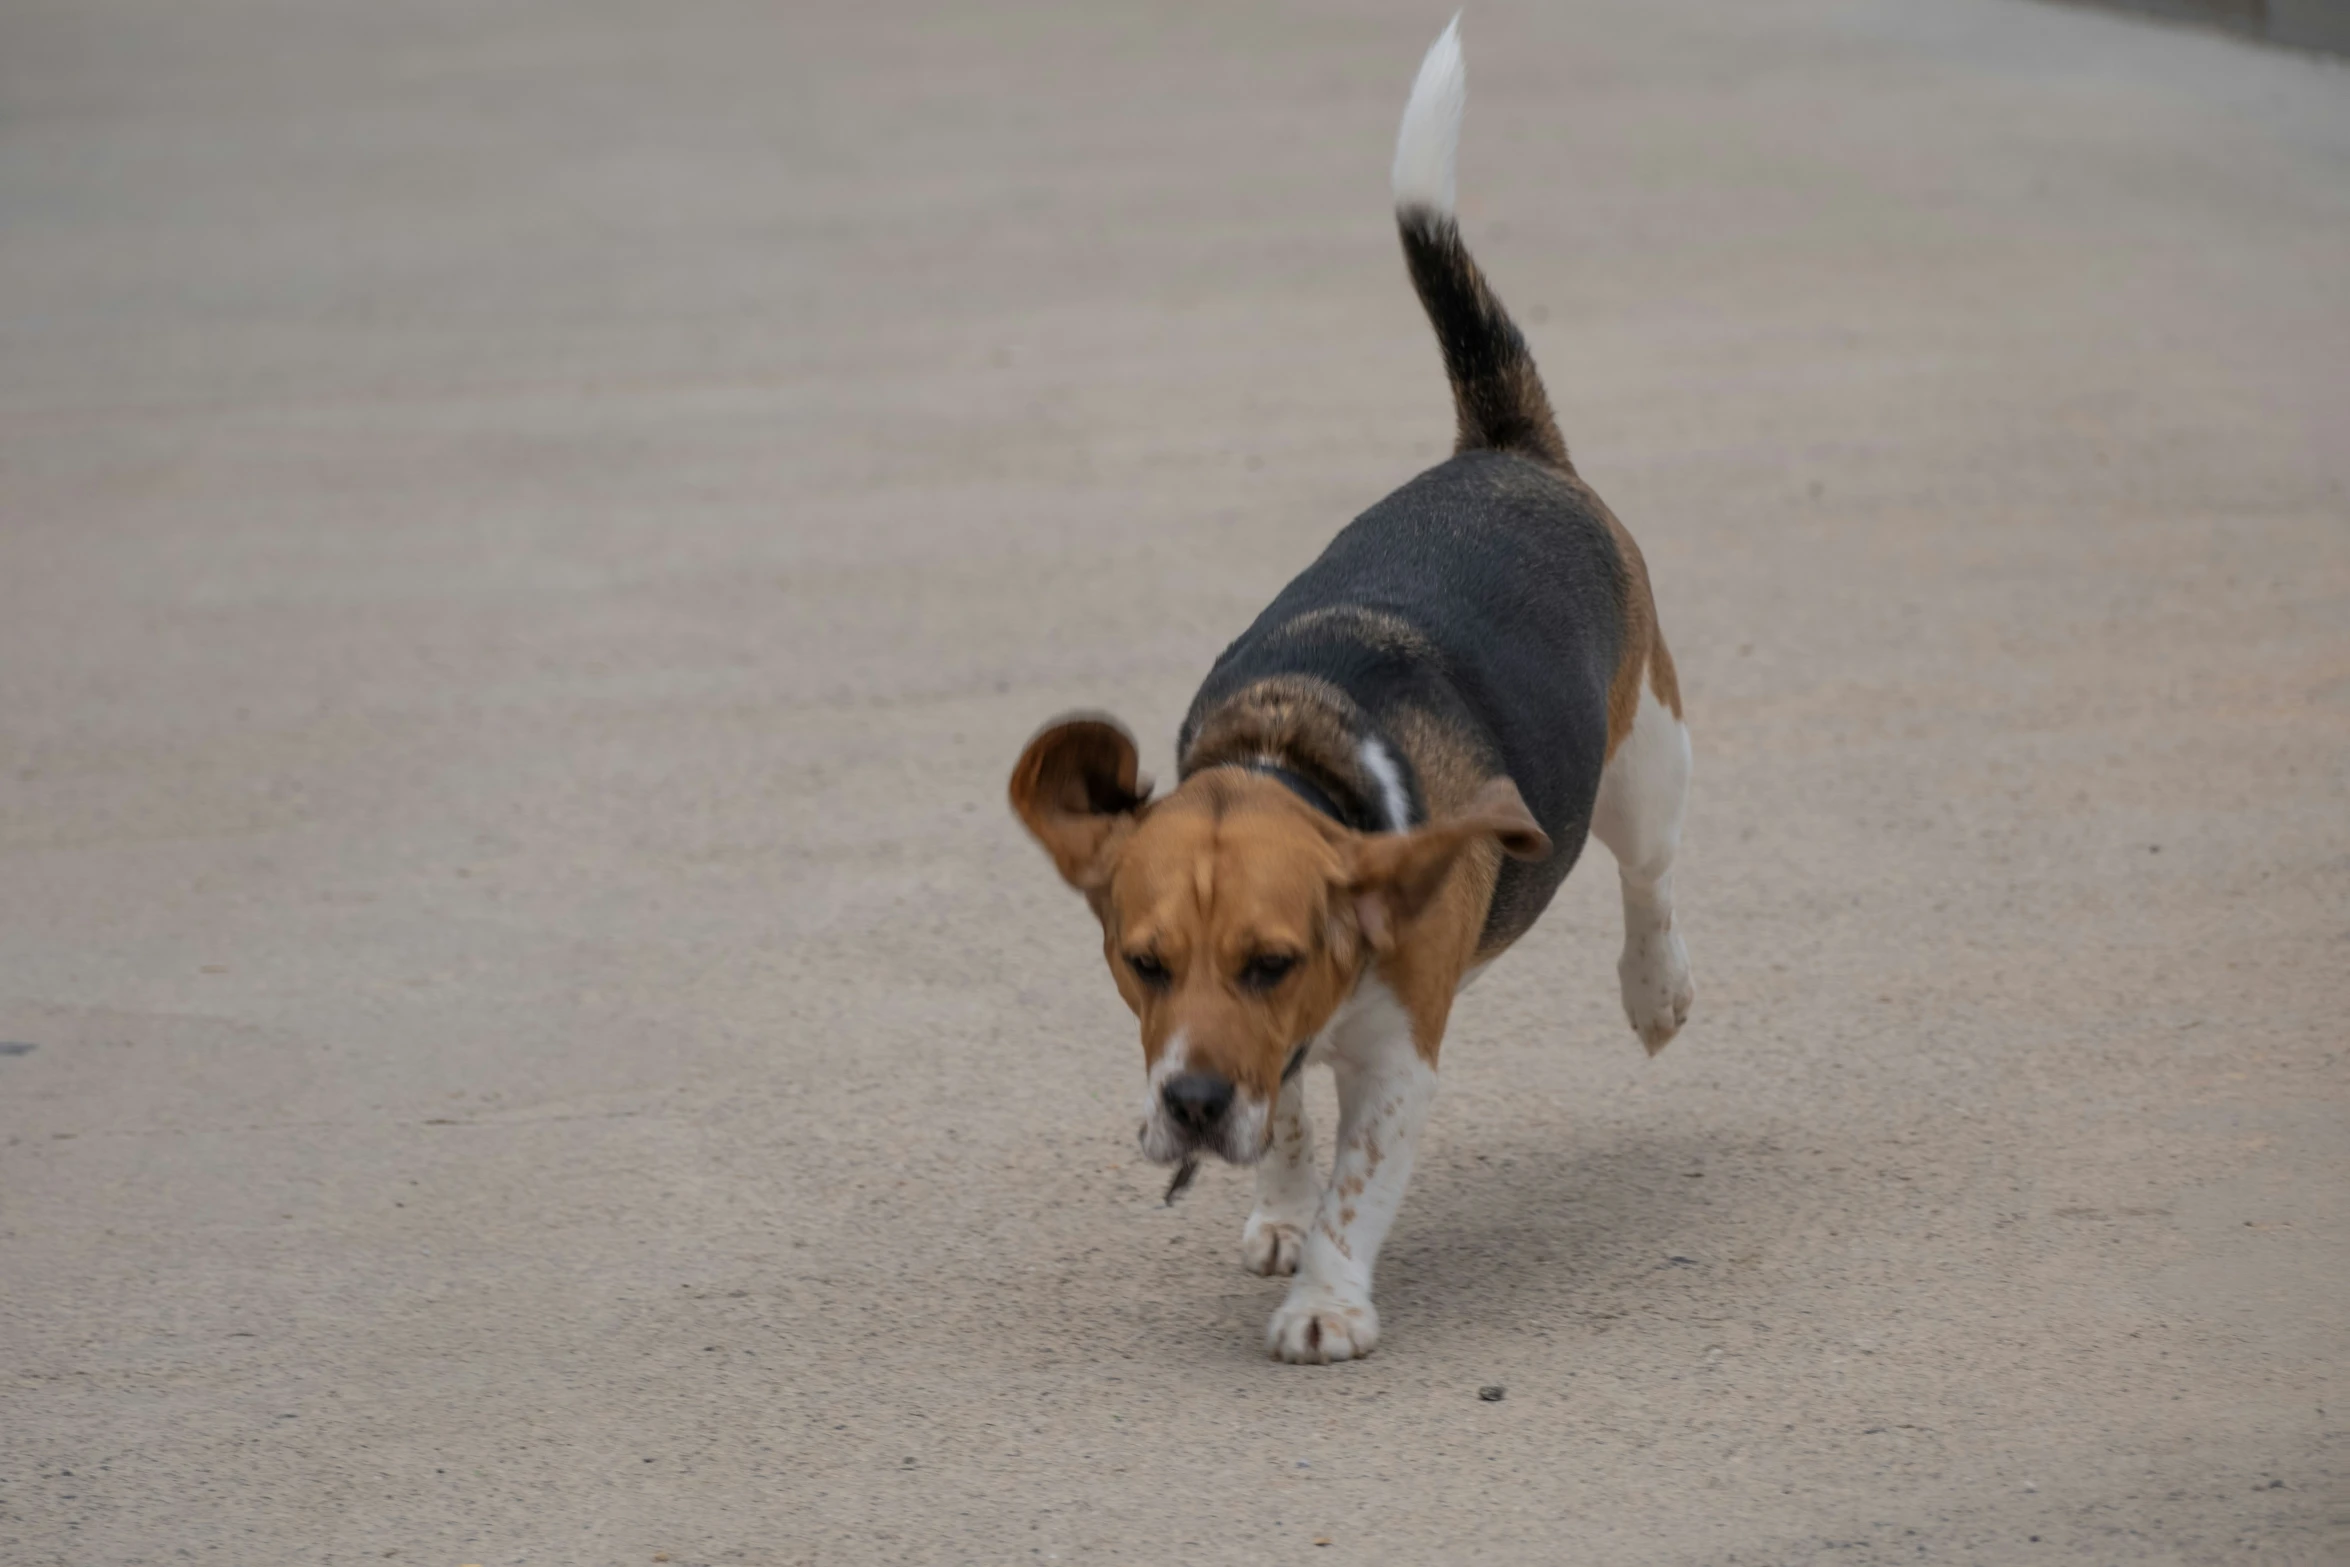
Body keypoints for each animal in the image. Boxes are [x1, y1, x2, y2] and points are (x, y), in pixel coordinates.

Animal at [1005, 18, 1691, 1362]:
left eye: (1272, 961)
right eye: (1140, 960)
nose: (1191, 1104)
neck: (1303, 756)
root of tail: (1503, 450)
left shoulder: (1398, 1058)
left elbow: (1358, 1178)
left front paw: (1326, 1298)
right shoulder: (1270, 1059)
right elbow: (1292, 1129)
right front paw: (1276, 1212)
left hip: (1644, 764)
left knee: (1647, 880)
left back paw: (1655, 990)